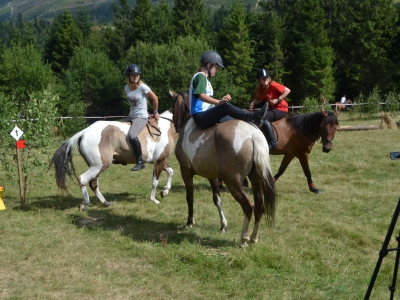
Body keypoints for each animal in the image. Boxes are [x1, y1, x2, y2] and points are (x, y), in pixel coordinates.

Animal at [170, 90, 276, 247]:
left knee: (248, 206)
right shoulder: (212, 176)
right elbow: (217, 199)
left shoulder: (186, 171)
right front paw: (223, 225)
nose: (173, 121)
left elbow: (190, 196)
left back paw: (243, 239)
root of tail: (253, 133)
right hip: (255, 179)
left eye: (174, 105)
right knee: (259, 207)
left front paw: (189, 222)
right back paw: (253, 238)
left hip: (233, 182)